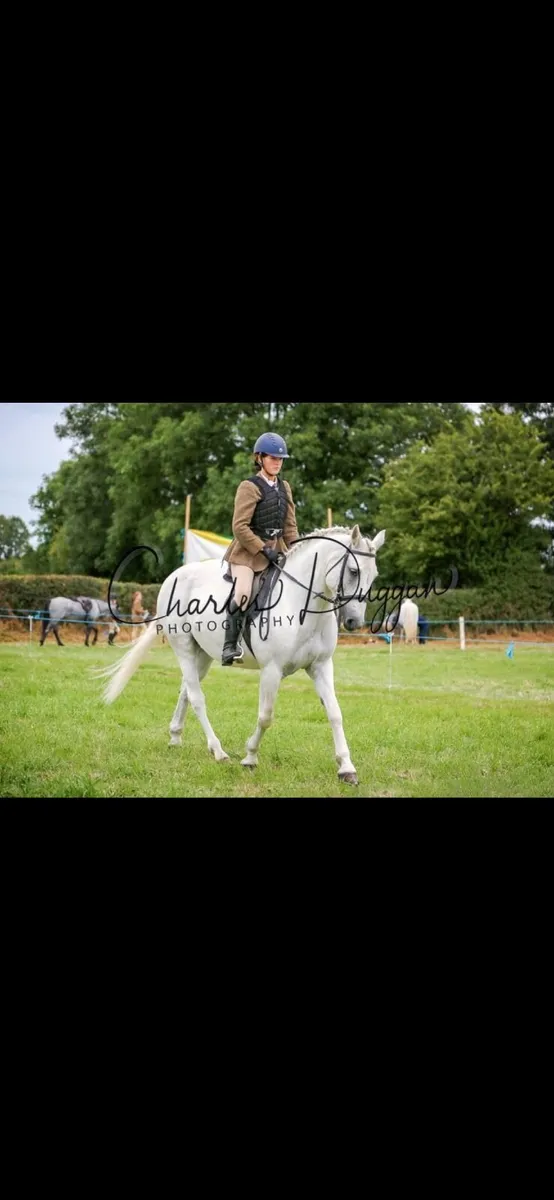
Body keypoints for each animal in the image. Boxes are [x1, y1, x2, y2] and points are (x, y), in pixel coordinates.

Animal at [100, 524, 385, 786]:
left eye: (374, 575)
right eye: (353, 571)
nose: (354, 622)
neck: (303, 605)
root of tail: (175, 576)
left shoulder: (321, 666)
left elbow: (335, 713)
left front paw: (346, 768)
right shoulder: (272, 669)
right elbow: (266, 716)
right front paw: (250, 757)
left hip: (203, 654)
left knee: (186, 691)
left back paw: (175, 737)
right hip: (183, 647)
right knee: (196, 697)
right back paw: (218, 751)